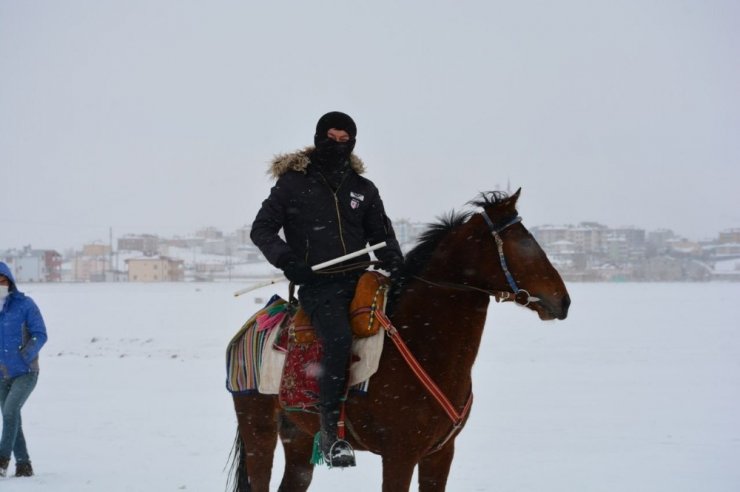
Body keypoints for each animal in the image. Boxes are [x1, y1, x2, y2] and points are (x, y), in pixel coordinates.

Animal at [228, 189, 568, 492]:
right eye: (523, 243)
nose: (563, 301)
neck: (424, 342)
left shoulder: (440, 453)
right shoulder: (399, 455)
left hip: (297, 435)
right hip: (258, 430)